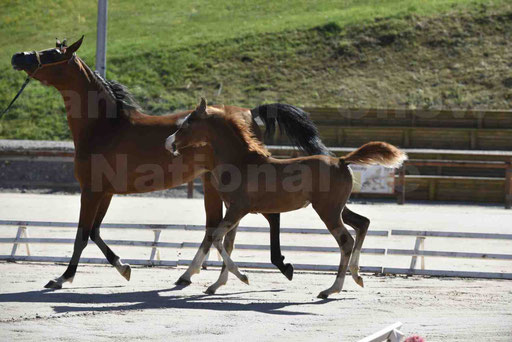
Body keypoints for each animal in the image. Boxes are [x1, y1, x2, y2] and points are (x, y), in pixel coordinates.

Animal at [11, 36, 328, 288]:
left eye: (53, 54)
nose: (17, 56)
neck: (105, 126)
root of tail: (249, 112)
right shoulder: (105, 192)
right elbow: (95, 232)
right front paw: (124, 268)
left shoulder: (90, 191)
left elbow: (81, 234)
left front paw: (63, 277)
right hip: (215, 184)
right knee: (219, 229)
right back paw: (198, 276)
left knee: (234, 224)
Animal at [166, 97, 406, 298]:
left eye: (188, 123)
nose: (169, 143)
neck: (241, 162)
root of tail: (341, 161)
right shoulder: (233, 211)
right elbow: (228, 243)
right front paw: (217, 285)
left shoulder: (238, 209)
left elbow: (216, 237)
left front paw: (243, 276)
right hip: (338, 208)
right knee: (362, 223)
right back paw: (357, 276)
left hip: (328, 211)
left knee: (346, 240)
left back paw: (331, 289)